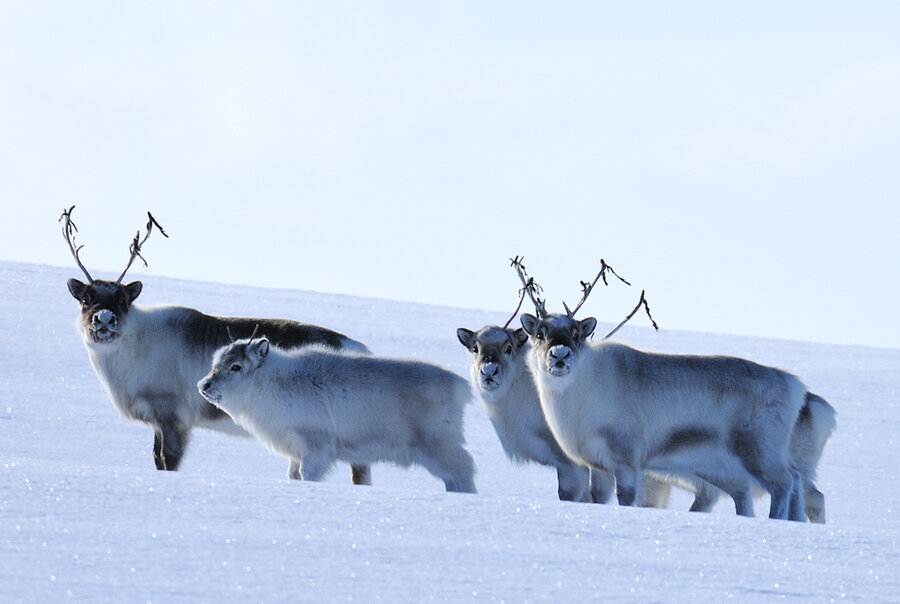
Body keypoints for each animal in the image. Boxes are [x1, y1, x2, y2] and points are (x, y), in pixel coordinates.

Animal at [197, 338, 478, 494]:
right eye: (216, 363)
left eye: (236, 366)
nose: (204, 385)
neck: (270, 382)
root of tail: (461, 387)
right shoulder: (294, 450)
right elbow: (292, 475)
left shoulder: (316, 446)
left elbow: (308, 474)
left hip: (439, 446)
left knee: (463, 471)